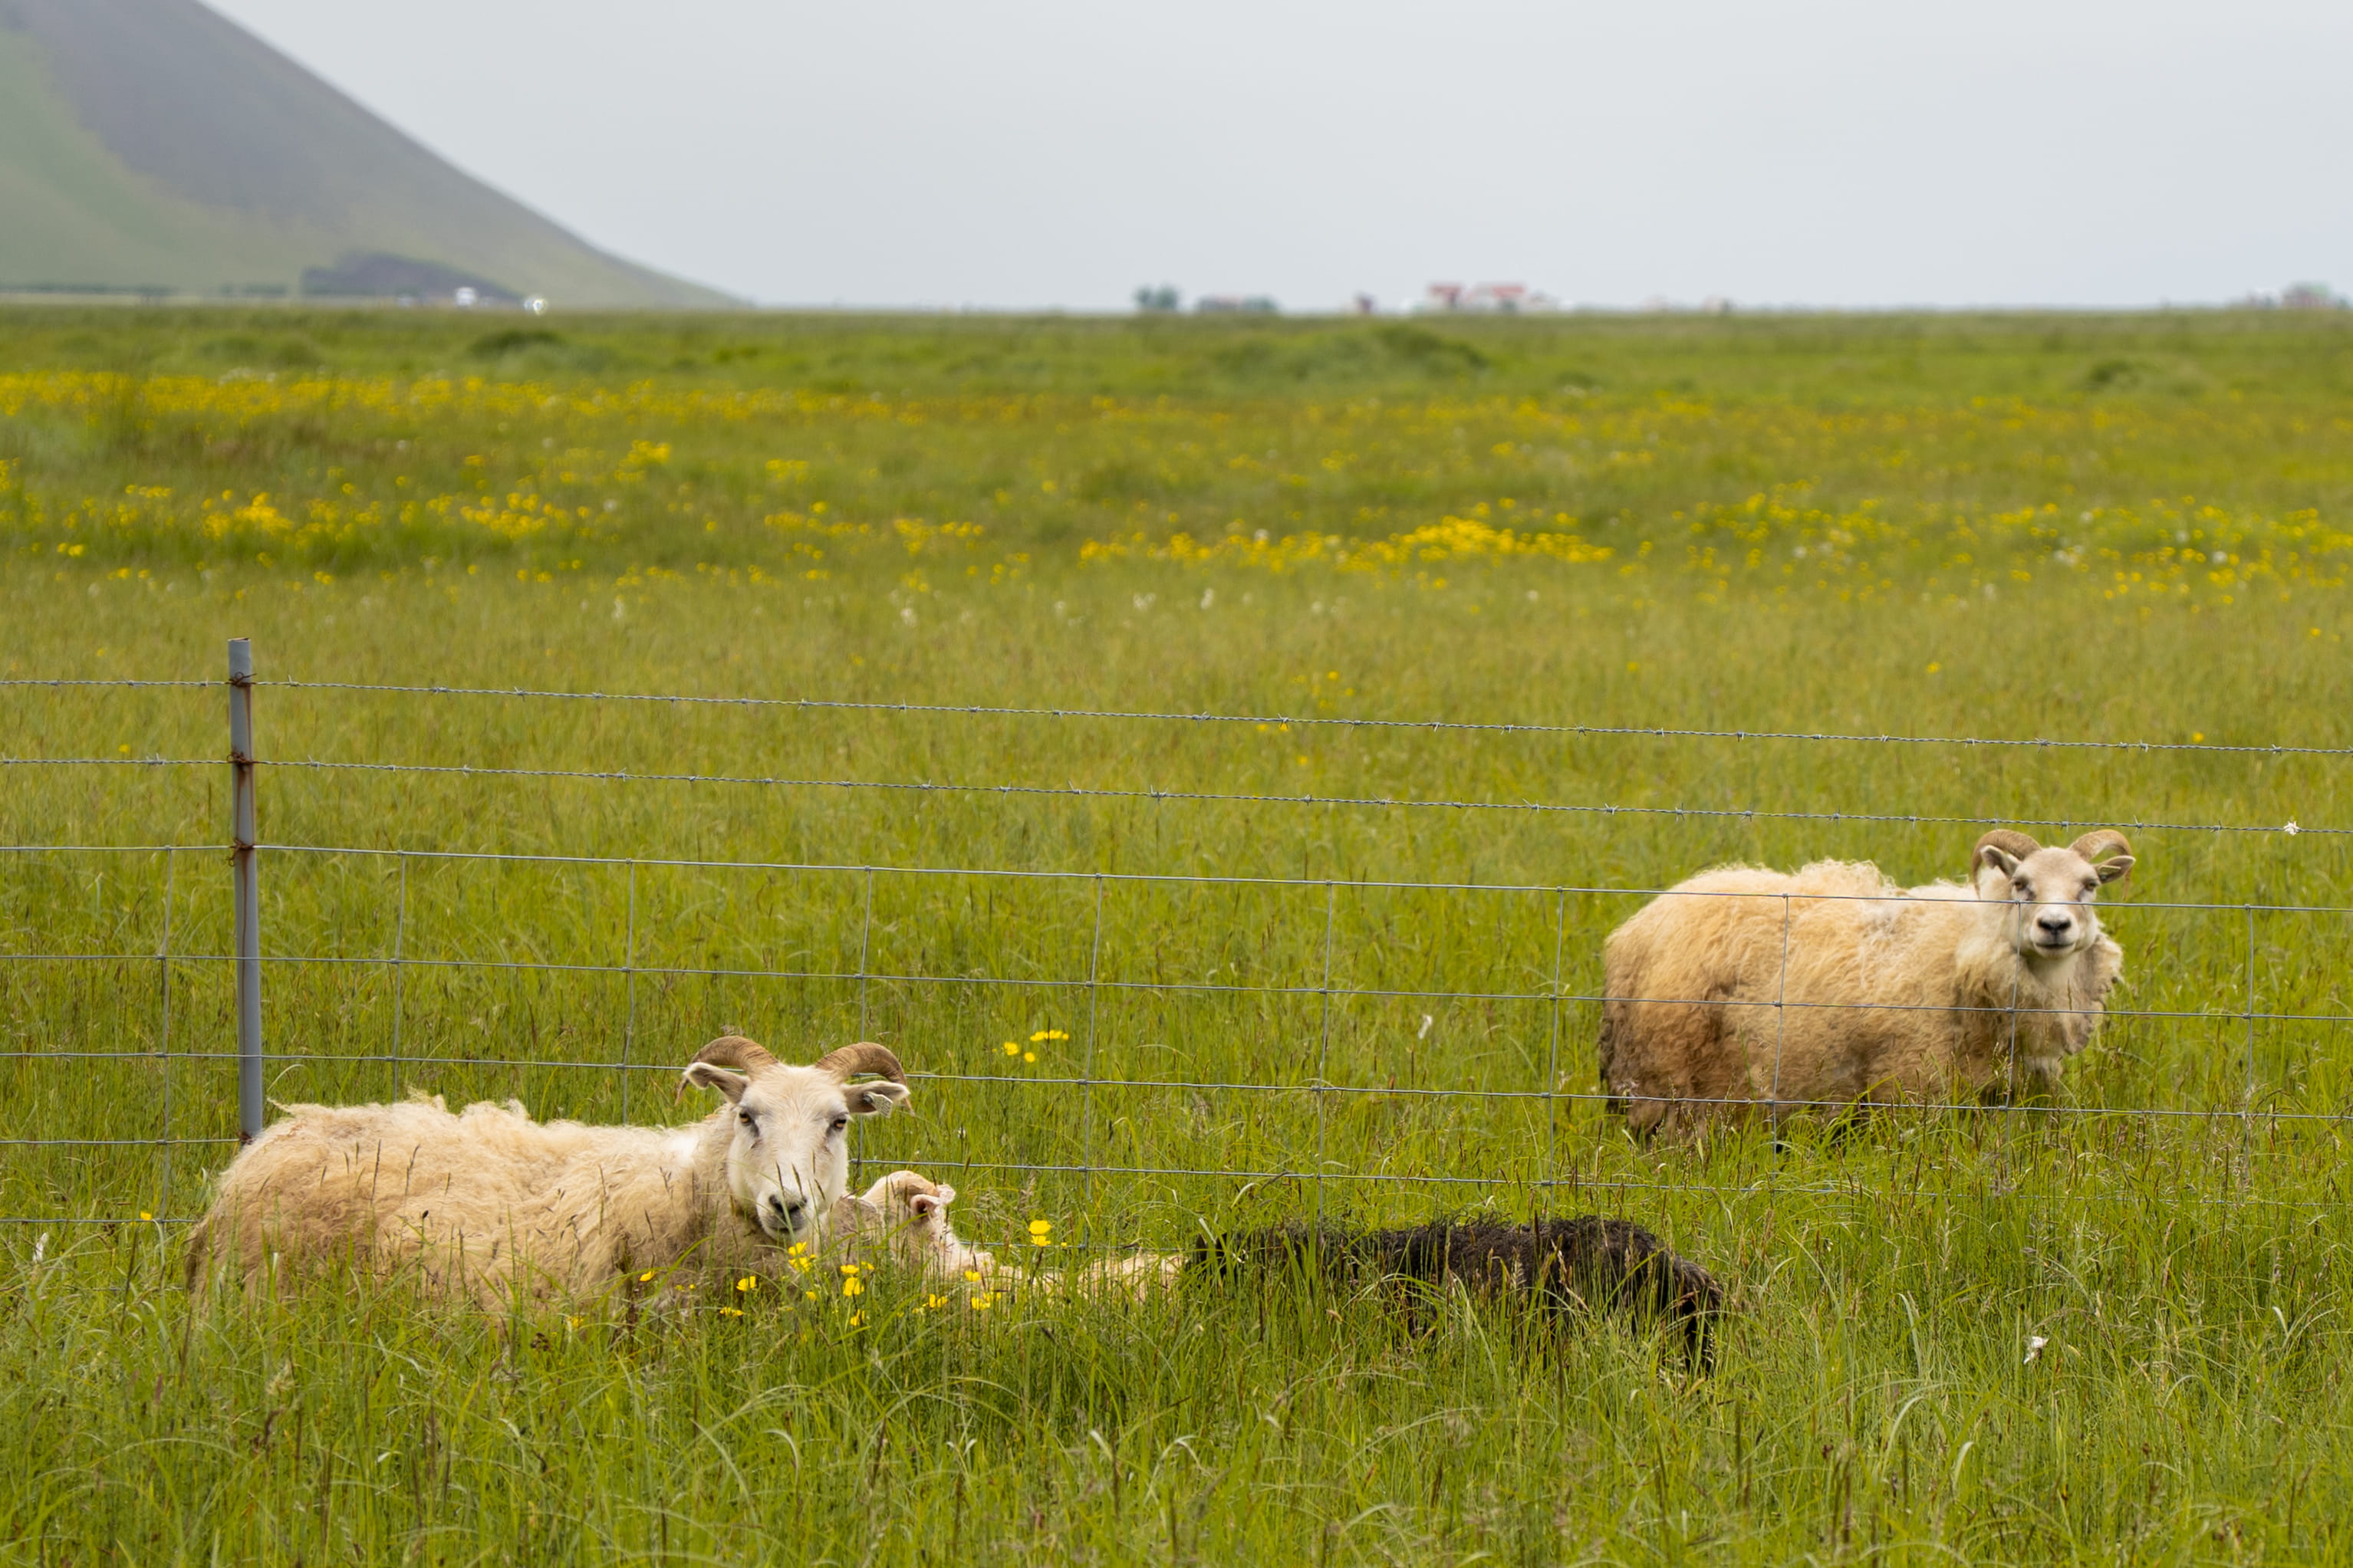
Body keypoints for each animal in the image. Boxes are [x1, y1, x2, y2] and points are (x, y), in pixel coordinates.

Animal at [1599, 828, 2134, 1138]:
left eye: (2089, 886)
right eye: (2021, 884)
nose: (2054, 926)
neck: (1969, 949)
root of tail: (1640, 925)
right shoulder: (1909, 1087)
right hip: (1666, 1080)